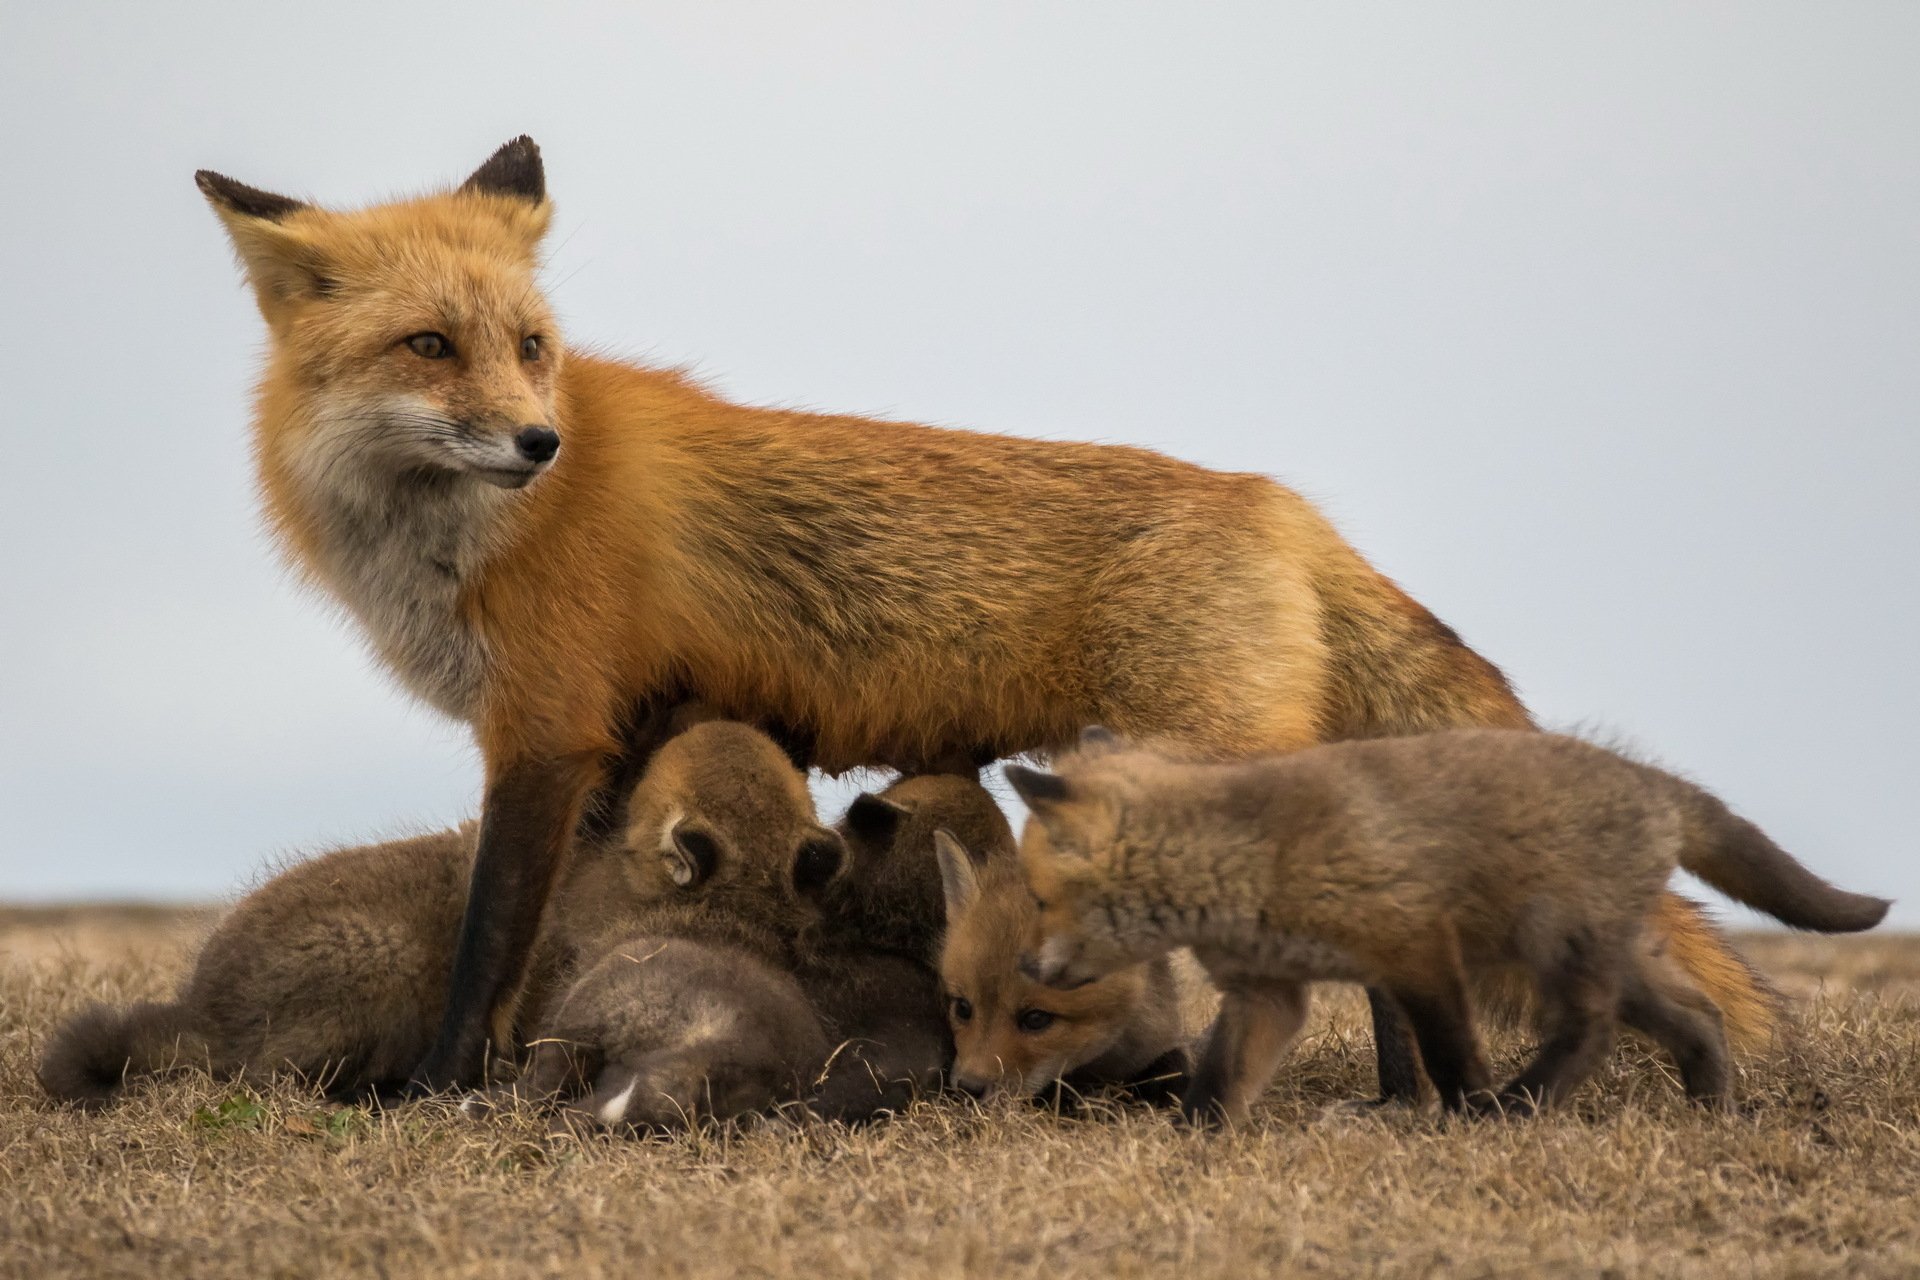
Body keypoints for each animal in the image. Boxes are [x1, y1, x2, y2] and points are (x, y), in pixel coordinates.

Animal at [1008, 728, 1891, 1125]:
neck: (1247, 857)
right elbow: (1223, 1073)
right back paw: (1711, 1109)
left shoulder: (1417, 952)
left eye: (1041, 901)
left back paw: (1518, 1105)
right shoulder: (1271, 993)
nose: (1024, 972)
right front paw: (1192, 1133)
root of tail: (1652, 779)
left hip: (1554, 946)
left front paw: (1463, 1111)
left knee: (1592, 1029)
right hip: (1622, 959)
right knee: (1699, 1018)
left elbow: (1446, 1051)